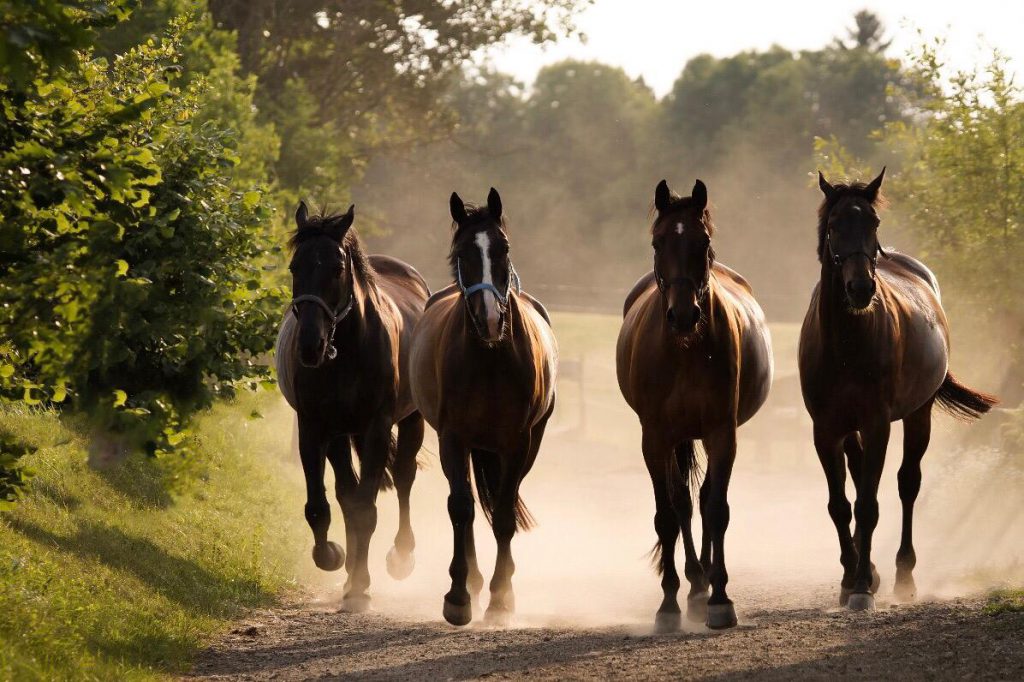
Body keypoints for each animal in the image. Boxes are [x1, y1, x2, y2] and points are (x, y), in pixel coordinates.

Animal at [274, 201, 430, 610]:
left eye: (336, 268)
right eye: (295, 267)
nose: (310, 345)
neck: (345, 352)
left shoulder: (376, 428)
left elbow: (366, 508)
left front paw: (361, 584)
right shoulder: (315, 429)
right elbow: (322, 505)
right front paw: (333, 557)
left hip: (411, 421)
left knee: (403, 477)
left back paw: (401, 556)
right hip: (342, 435)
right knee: (347, 490)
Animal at [407, 187, 557, 626]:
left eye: (503, 248)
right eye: (462, 252)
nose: (491, 319)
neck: (491, 358)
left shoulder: (517, 444)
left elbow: (504, 514)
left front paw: (502, 599)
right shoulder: (454, 439)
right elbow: (461, 507)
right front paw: (458, 596)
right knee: (469, 503)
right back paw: (472, 582)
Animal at [610, 178, 770, 630]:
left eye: (704, 242)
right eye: (657, 241)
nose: (683, 315)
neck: (685, 351)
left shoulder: (721, 434)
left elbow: (716, 509)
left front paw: (720, 599)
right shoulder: (656, 439)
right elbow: (666, 513)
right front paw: (668, 605)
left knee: (701, 498)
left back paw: (703, 586)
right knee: (682, 501)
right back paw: (693, 583)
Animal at [798, 166, 999, 606]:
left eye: (873, 222)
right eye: (834, 225)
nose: (860, 289)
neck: (845, 343)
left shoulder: (877, 425)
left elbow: (869, 506)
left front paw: (861, 587)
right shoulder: (826, 430)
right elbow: (840, 504)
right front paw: (850, 578)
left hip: (917, 416)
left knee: (908, 484)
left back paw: (903, 575)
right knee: (859, 478)